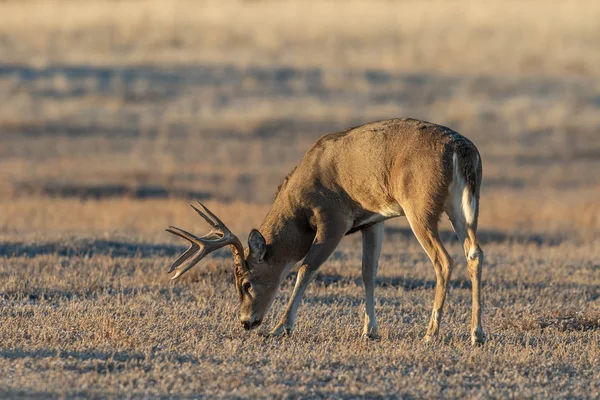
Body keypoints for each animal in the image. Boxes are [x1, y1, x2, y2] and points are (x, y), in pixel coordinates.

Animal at [166, 117, 486, 346]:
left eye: (246, 283)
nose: (246, 322)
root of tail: (462, 150)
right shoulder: (373, 221)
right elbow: (368, 272)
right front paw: (369, 330)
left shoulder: (334, 218)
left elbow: (305, 268)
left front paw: (281, 327)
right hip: (462, 207)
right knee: (475, 253)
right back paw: (476, 334)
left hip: (419, 206)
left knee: (444, 260)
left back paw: (431, 333)